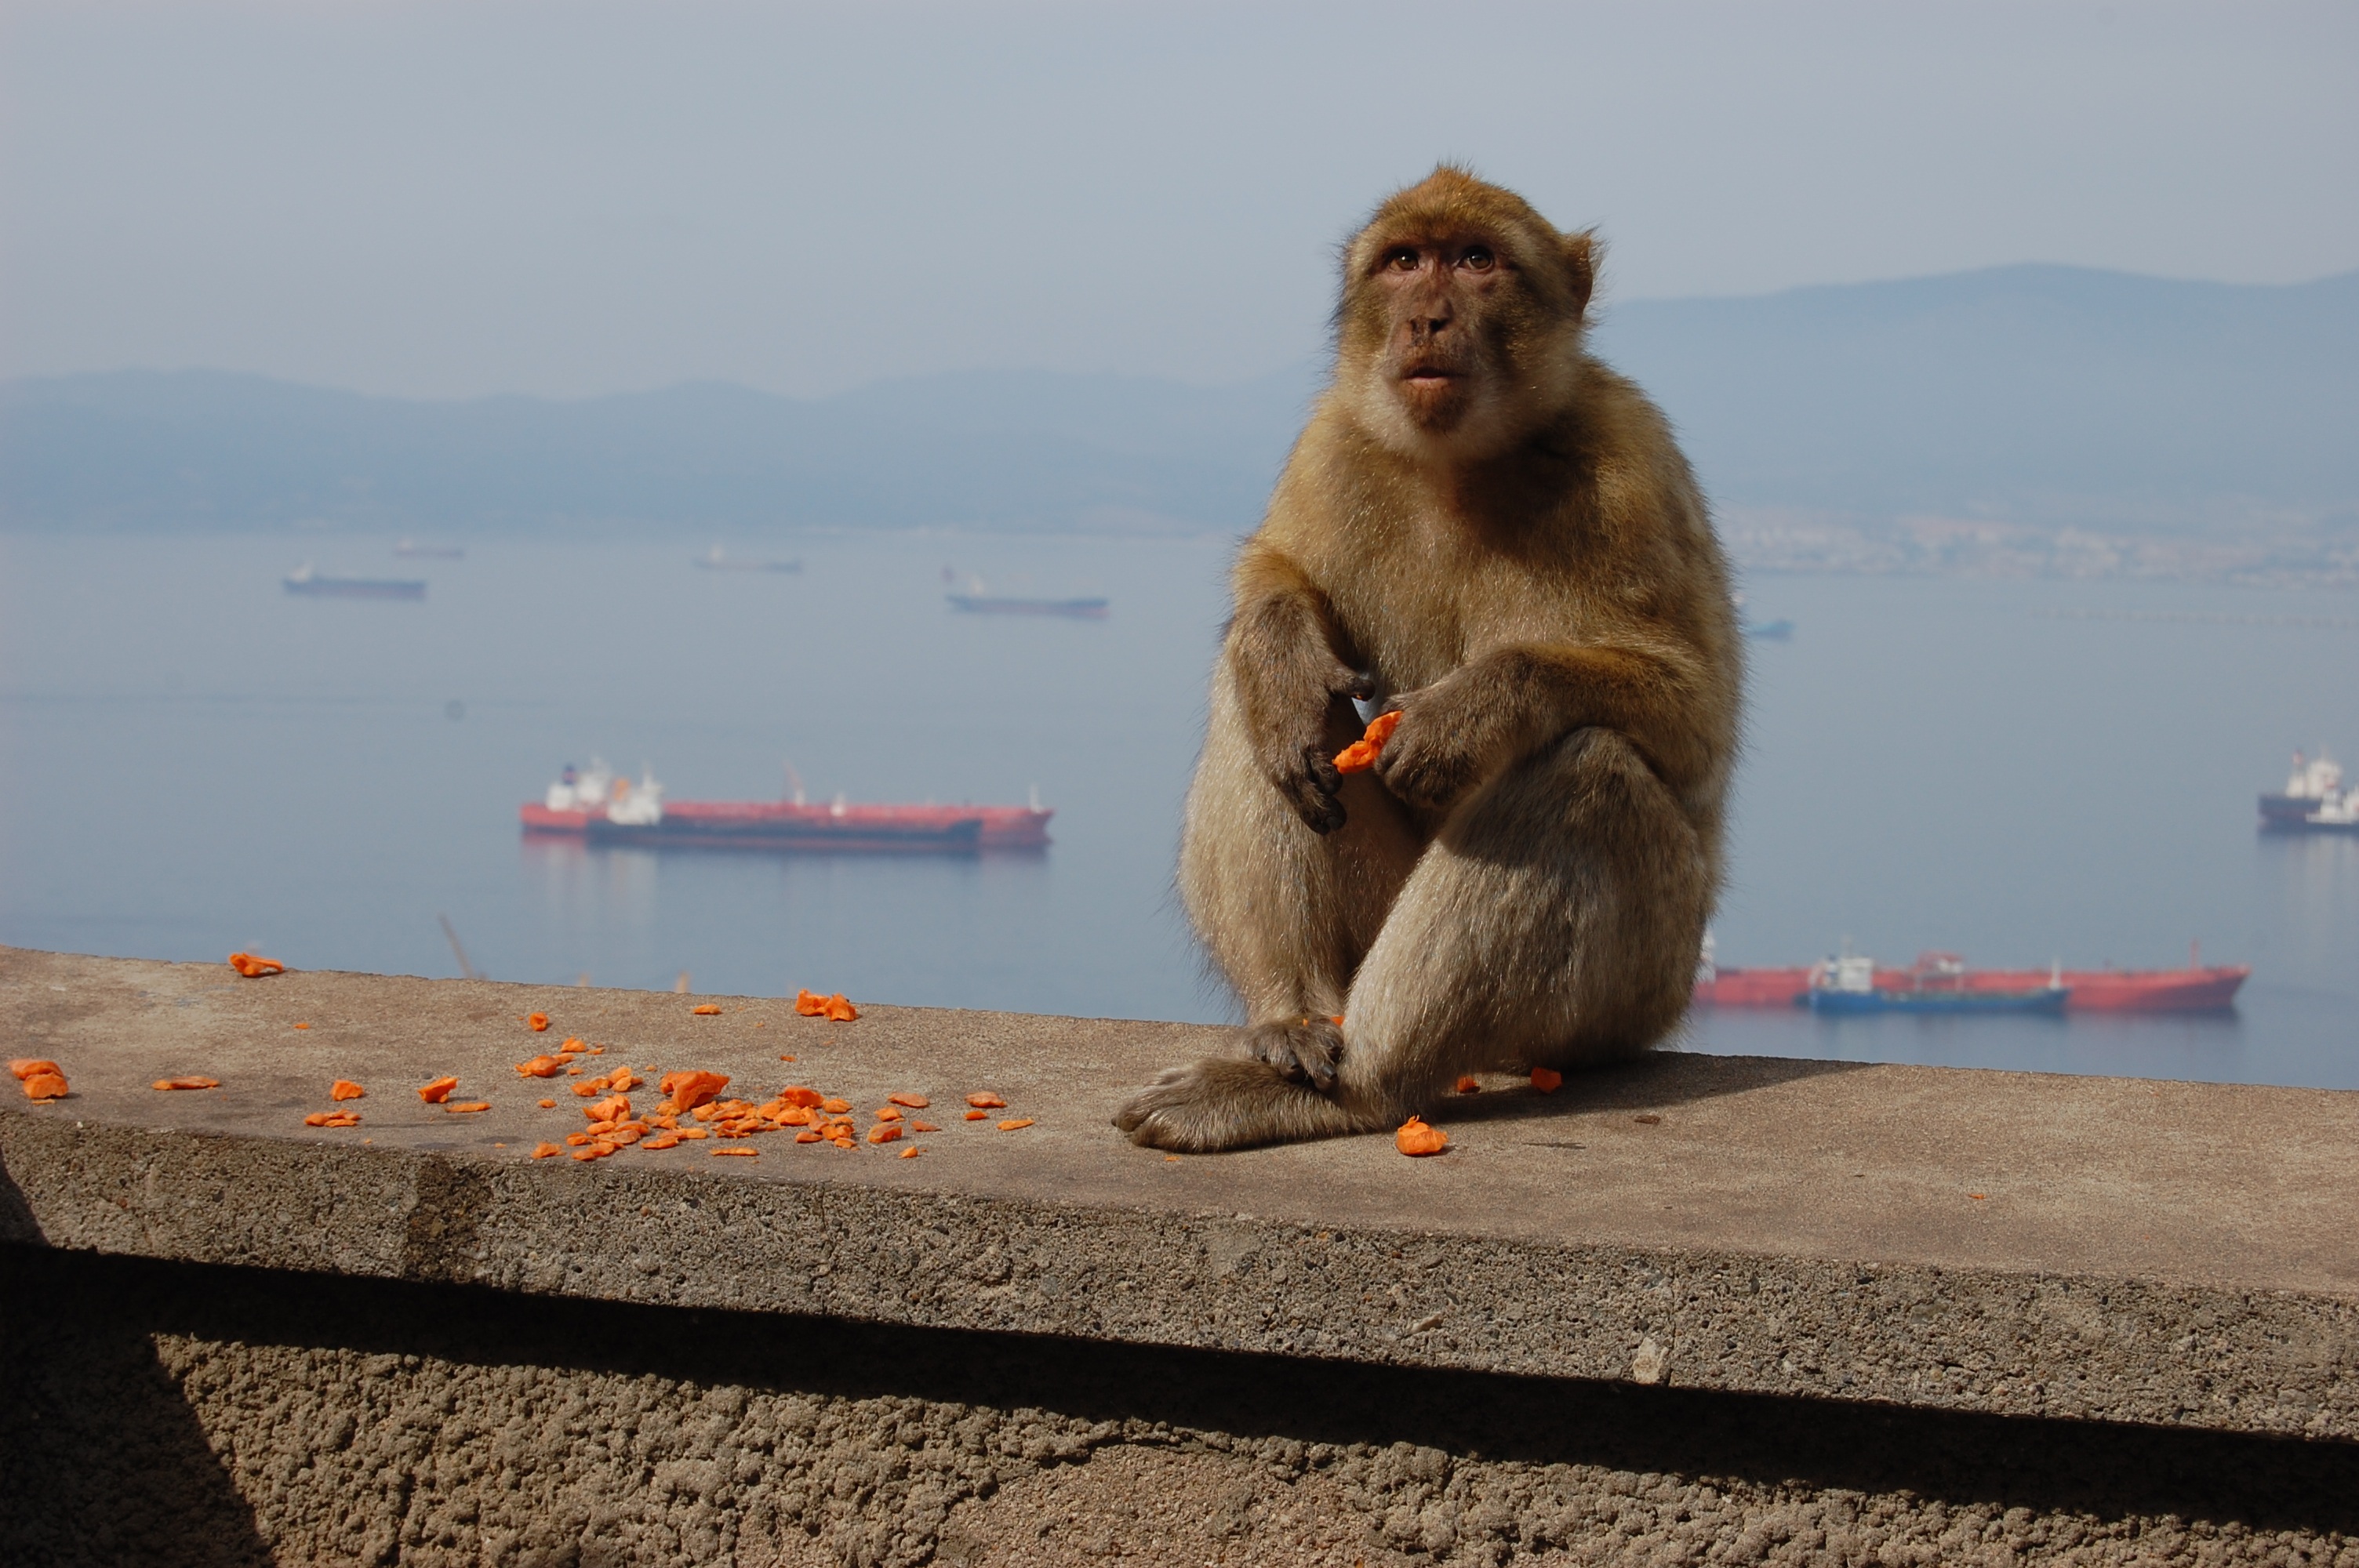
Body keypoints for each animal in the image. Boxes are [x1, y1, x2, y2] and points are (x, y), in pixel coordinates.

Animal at [1114, 166, 1743, 1152]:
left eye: (1477, 260)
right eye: (1405, 262)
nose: (1427, 318)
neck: (1459, 463)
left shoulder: (1631, 463)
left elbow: (1697, 714)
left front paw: (1471, 708)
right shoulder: (1330, 438)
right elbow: (1276, 579)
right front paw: (1281, 650)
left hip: (1638, 991)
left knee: (1585, 770)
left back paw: (1359, 1087)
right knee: (1255, 703)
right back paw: (1292, 1017)